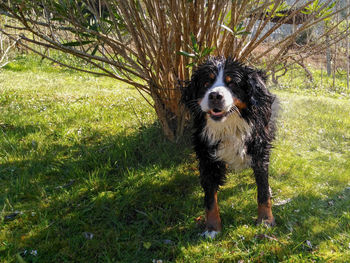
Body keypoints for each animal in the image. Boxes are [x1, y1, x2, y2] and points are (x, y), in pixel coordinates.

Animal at [182, 57, 278, 239]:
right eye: (206, 83)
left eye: (232, 83)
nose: (215, 95)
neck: (228, 127)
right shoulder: (207, 158)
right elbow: (210, 199)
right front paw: (212, 228)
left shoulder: (259, 151)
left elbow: (262, 191)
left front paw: (265, 220)